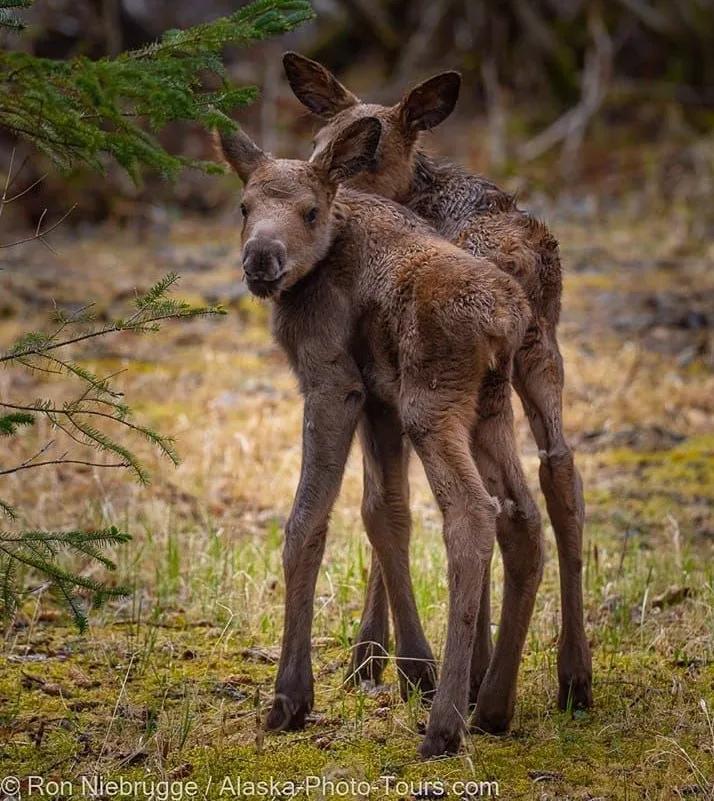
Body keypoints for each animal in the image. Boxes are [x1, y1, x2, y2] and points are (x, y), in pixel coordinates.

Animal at [217, 114, 540, 756]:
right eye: (243, 205)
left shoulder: (333, 382)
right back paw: (492, 705)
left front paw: (291, 695)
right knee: (522, 515)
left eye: (311, 211)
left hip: (432, 406)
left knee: (472, 515)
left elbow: (306, 524)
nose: (261, 259)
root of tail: (504, 321)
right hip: (489, 410)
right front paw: (414, 668)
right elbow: (384, 513)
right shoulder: (379, 402)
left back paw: (445, 726)